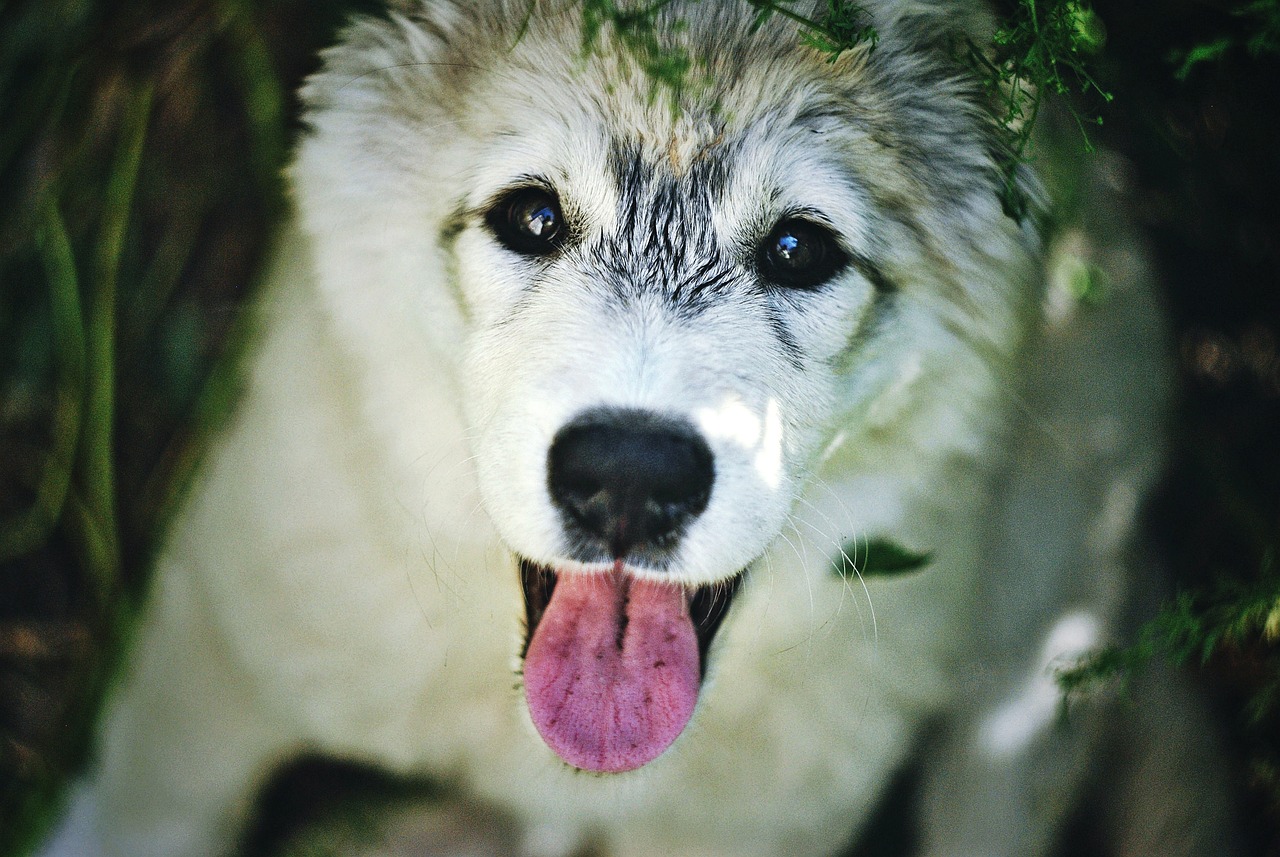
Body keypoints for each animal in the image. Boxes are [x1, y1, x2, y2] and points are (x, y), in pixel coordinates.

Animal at [45, 1, 1233, 857]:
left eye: (800, 249)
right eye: (530, 217)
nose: (626, 477)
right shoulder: (218, 649)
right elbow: (146, 811)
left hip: (1032, 662)